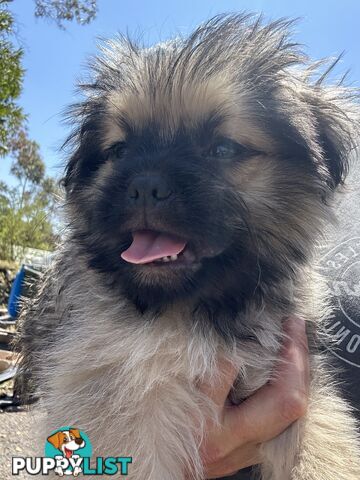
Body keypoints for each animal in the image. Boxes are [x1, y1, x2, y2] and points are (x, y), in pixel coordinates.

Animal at [18, 13, 360, 478]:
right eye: (119, 151)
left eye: (223, 148)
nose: (145, 185)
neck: (190, 312)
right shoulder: (123, 395)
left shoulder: (302, 395)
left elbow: (325, 449)